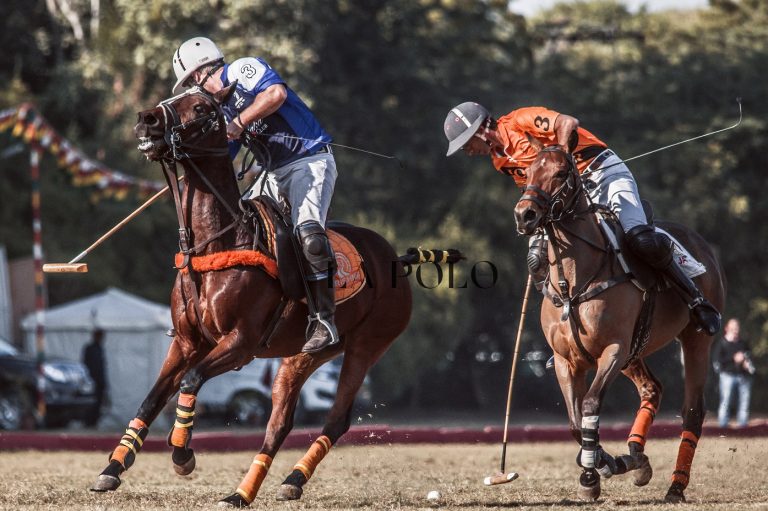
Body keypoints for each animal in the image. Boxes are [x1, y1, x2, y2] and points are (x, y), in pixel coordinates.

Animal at [90, 86, 452, 506]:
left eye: (200, 107)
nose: (146, 119)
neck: (219, 242)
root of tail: (396, 257)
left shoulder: (240, 342)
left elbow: (190, 381)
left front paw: (182, 455)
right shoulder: (186, 341)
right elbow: (151, 399)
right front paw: (111, 469)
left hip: (368, 344)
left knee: (336, 417)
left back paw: (279, 481)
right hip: (302, 355)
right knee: (280, 422)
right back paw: (250, 490)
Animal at [512, 144, 724, 504]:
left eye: (560, 172)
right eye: (526, 173)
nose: (525, 214)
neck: (573, 283)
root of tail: (700, 243)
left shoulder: (612, 349)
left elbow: (590, 405)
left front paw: (592, 474)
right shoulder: (566, 361)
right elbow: (575, 421)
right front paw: (605, 464)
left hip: (694, 339)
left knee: (693, 410)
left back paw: (675, 486)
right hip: (635, 350)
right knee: (652, 388)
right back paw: (636, 457)